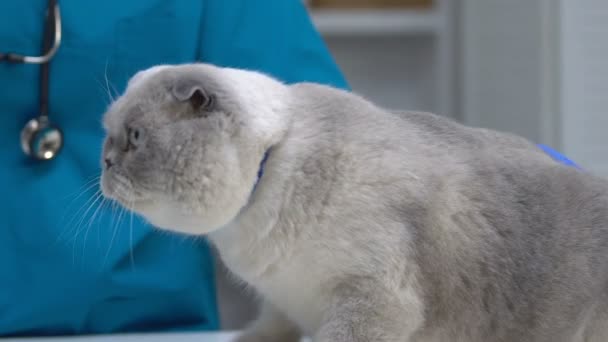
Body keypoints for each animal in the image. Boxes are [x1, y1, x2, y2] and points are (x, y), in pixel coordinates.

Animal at [100, 62, 608, 342]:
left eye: (135, 138)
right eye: (108, 134)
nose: (104, 163)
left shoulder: (372, 300)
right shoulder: (283, 298)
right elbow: (270, 329)